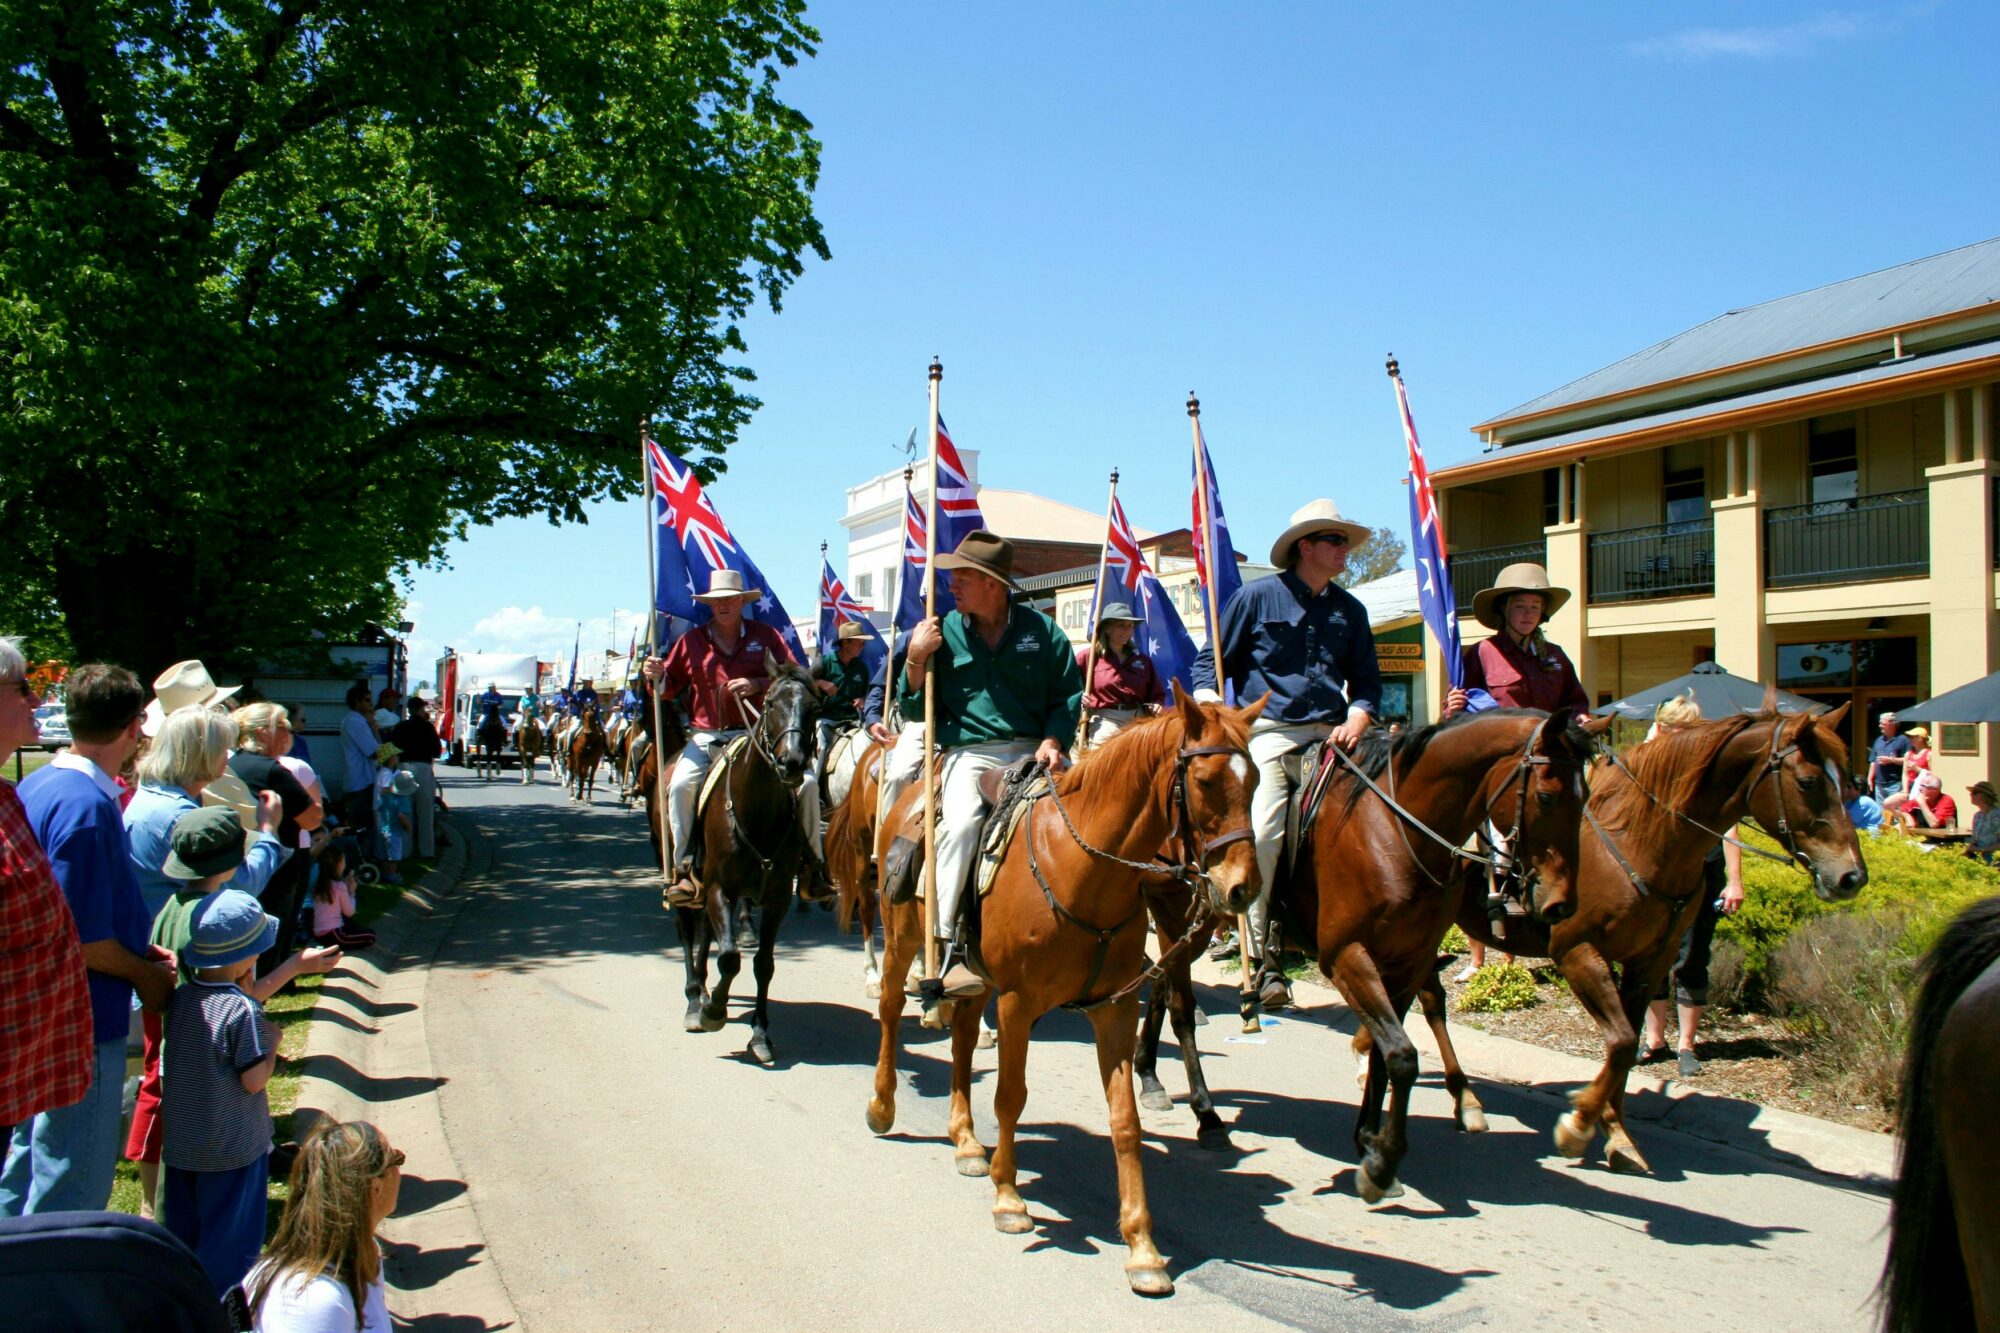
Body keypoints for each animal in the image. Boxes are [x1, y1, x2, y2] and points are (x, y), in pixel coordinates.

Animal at [676, 668, 816, 1064]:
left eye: (815, 707)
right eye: (770, 704)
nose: (791, 761)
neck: (757, 809)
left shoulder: (777, 897)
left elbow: (763, 964)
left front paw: (759, 1034)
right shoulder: (719, 889)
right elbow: (730, 958)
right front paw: (713, 1012)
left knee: (706, 933)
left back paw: (703, 990)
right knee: (688, 930)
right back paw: (694, 1000)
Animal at [864, 688, 1264, 1288]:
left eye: (1257, 779)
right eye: (1207, 781)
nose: (1242, 888)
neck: (1083, 869)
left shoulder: (1113, 1010)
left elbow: (1125, 1122)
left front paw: (1143, 1249)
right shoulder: (1018, 1005)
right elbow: (1010, 1097)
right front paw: (1009, 1199)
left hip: (977, 977)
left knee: (963, 1037)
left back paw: (965, 1140)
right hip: (905, 937)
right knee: (891, 1008)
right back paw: (883, 1106)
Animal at [1392, 700, 1872, 1168]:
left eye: (1848, 780)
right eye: (1809, 781)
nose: (1851, 876)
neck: (1643, 839)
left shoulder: (1650, 961)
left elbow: (1626, 1045)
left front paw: (1617, 1132)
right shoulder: (1576, 950)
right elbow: (1622, 1041)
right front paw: (1579, 1124)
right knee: (1431, 999)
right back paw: (1460, 1096)